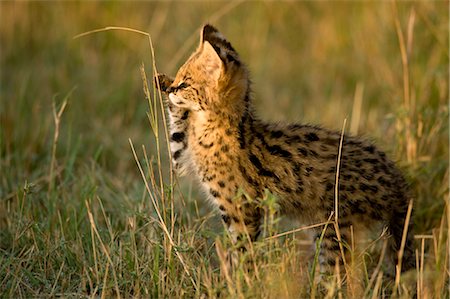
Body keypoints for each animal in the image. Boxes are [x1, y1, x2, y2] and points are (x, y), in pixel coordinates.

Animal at [156, 25, 414, 274]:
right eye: (179, 79)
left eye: (185, 83)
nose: (172, 88)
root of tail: (398, 182)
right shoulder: (180, 158)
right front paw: (162, 82)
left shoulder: (241, 210)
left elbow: (243, 252)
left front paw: (238, 280)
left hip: (335, 229)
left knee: (340, 276)